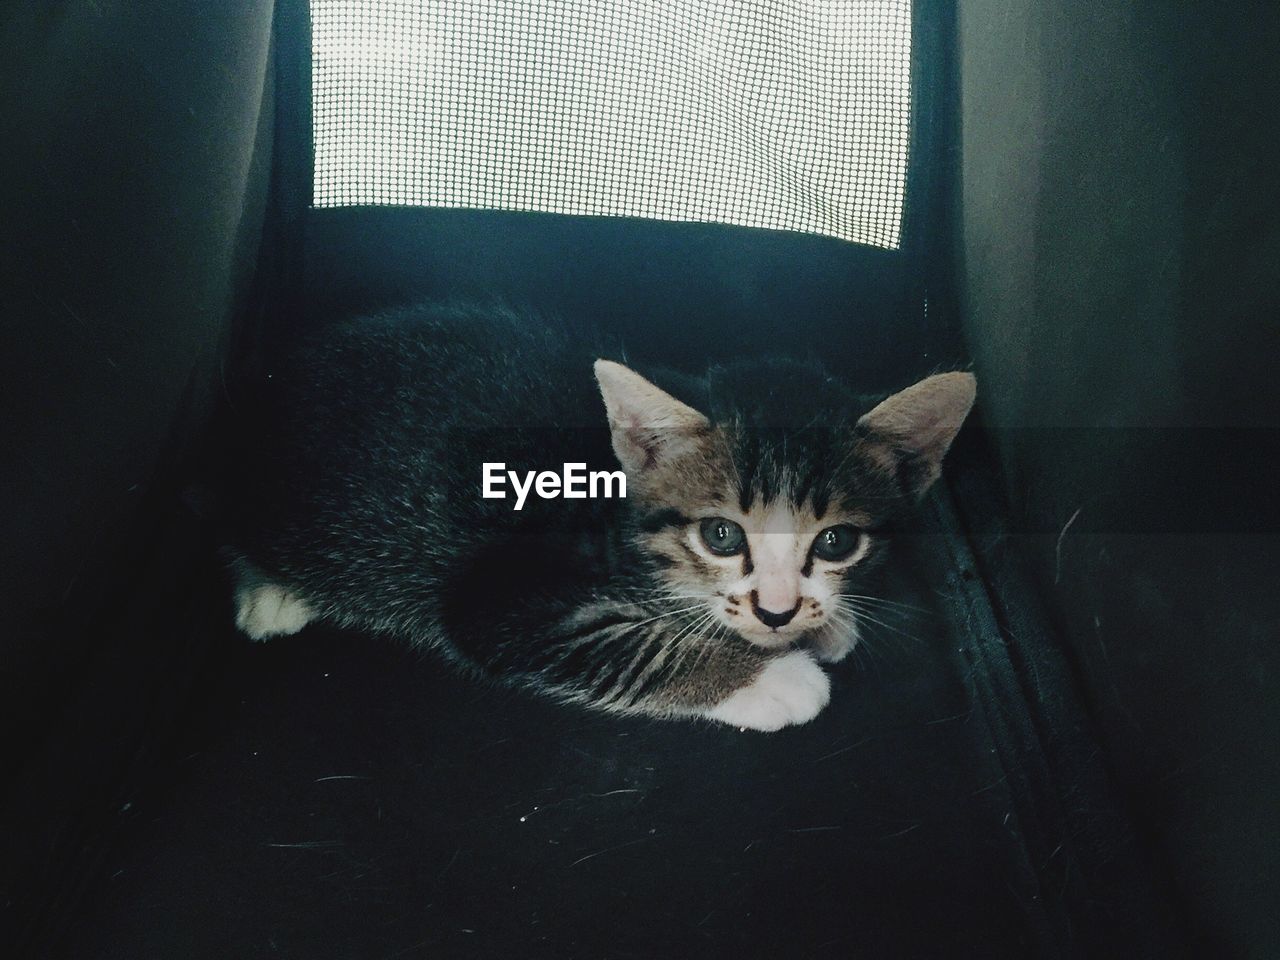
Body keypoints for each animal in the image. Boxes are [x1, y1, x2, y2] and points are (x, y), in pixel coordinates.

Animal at [225, 304, 972, 732]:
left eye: (837, 541)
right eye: (721, 535)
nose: (778, 612)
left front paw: (825, 623)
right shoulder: (495, 593)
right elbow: (628, 646)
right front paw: (774, 678)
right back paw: (273, 595)